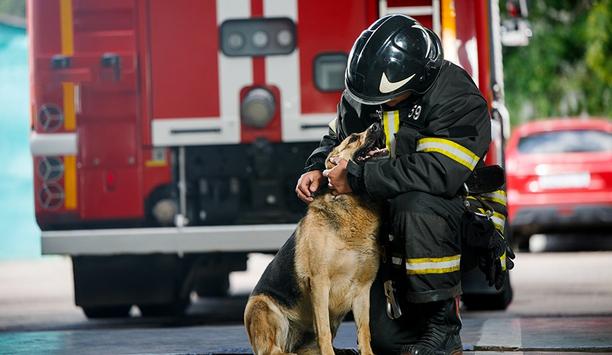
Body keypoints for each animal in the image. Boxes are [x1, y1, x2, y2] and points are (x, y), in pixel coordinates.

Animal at [244, 124, 388, 355]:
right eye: (353, 138)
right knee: (275, 350)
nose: (377, 124)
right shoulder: (319, 283)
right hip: (262, 306)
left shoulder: (362, 290)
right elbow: (324, 330)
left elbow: (364, 331)